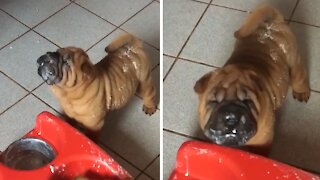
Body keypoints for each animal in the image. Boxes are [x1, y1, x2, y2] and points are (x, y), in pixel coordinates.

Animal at [192, 3, 310, 154]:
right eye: (213, 102)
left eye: (248, 101)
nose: (231, 117)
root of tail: (272, 23)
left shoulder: (262, 142)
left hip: (293, 60)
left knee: (299, 76)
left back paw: (302, 92)